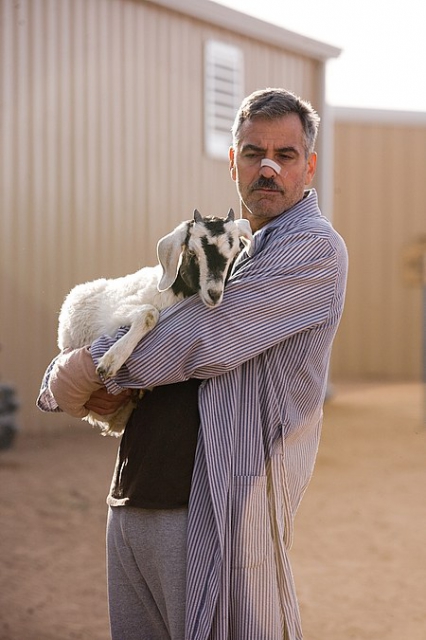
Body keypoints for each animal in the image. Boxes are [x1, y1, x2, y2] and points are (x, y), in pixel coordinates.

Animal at [55, 209, 250, 436]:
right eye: (192, 252)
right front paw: (110, 362)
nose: (214, 294)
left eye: (235, 252)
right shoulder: (117, 315)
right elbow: (149, 313)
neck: (175, 292)